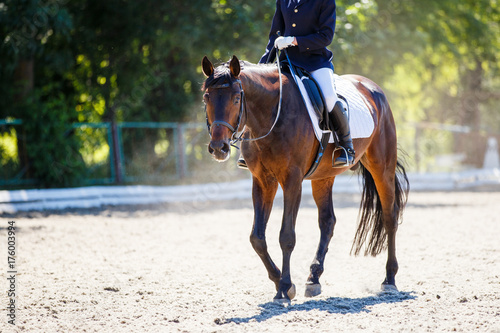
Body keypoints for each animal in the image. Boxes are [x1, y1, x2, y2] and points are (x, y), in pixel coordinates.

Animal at [201, 55, 408, 304]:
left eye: (236, 98)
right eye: (206, 97)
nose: (218, 148)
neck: (272, 113)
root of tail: (373, 88)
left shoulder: (292, 180)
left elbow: (286, 236)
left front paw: (285, 287)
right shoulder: (262, 181)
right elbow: (257, 238)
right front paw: (280, 283)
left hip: (382, 167)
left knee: (389, 216)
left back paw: (389, 279)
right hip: (324, 176)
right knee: (327, 221)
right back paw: (313, 278)